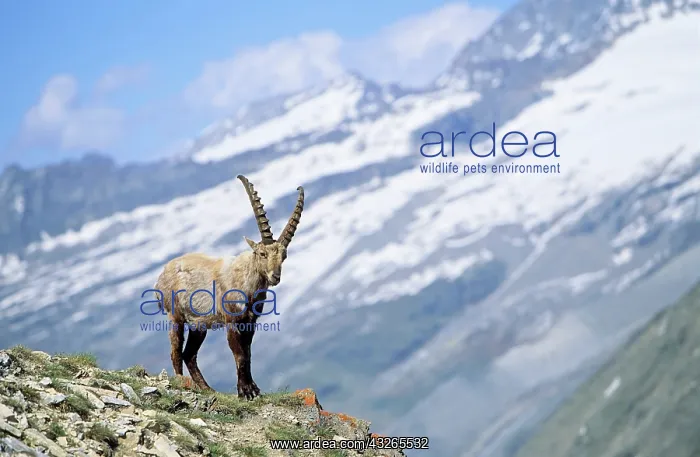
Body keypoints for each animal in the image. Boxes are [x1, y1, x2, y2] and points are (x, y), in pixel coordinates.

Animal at [153, 175, 304, 399]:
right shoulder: (231, 320)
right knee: (176, 351)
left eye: (283, 256)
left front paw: (253, 389)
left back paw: (207, 388)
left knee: (189, 354)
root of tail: (161, 276)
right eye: (262, 254)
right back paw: (182, 382)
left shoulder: (250, 322)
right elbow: (239, 354)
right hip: (176, 316)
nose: (275, 277)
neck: (247, 285)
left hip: (198, 325)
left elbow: (248, 354)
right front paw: (245, 391)